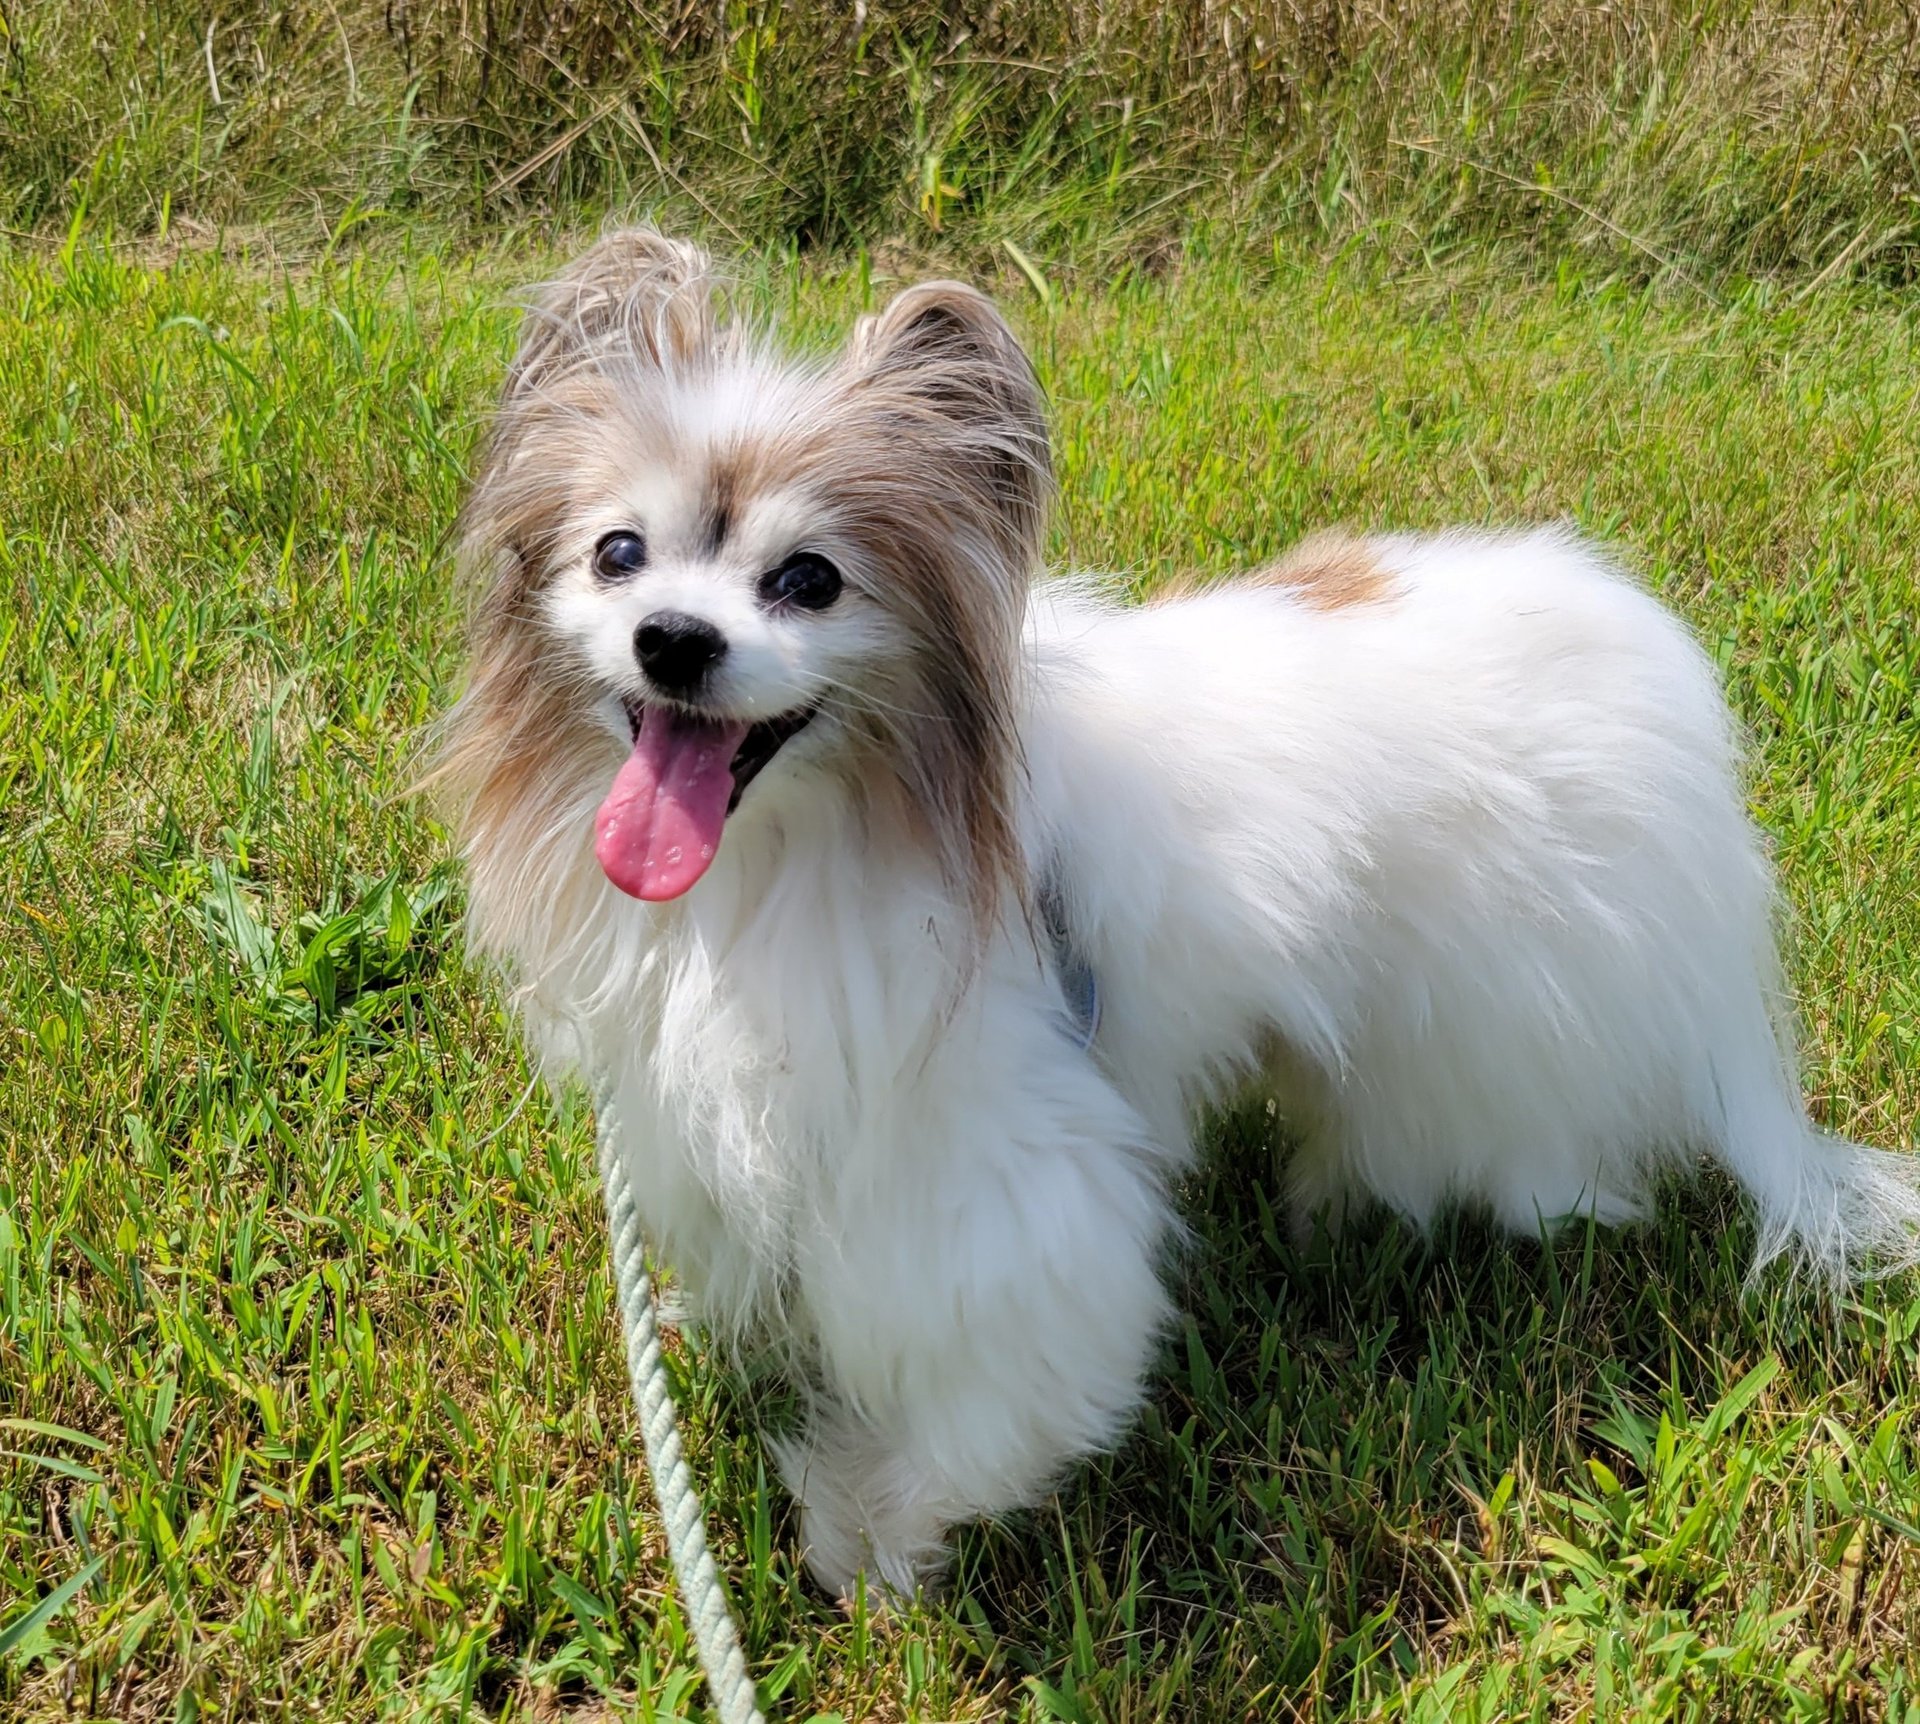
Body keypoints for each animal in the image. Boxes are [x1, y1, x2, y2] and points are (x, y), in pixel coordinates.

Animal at [438, 228, 1920, 1599]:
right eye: (617, 555)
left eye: (809, 579)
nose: (674, 640)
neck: (809, 843)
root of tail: (1656, 680)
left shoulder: (991, 1172)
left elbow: (992, 1387)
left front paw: (871, 1523)